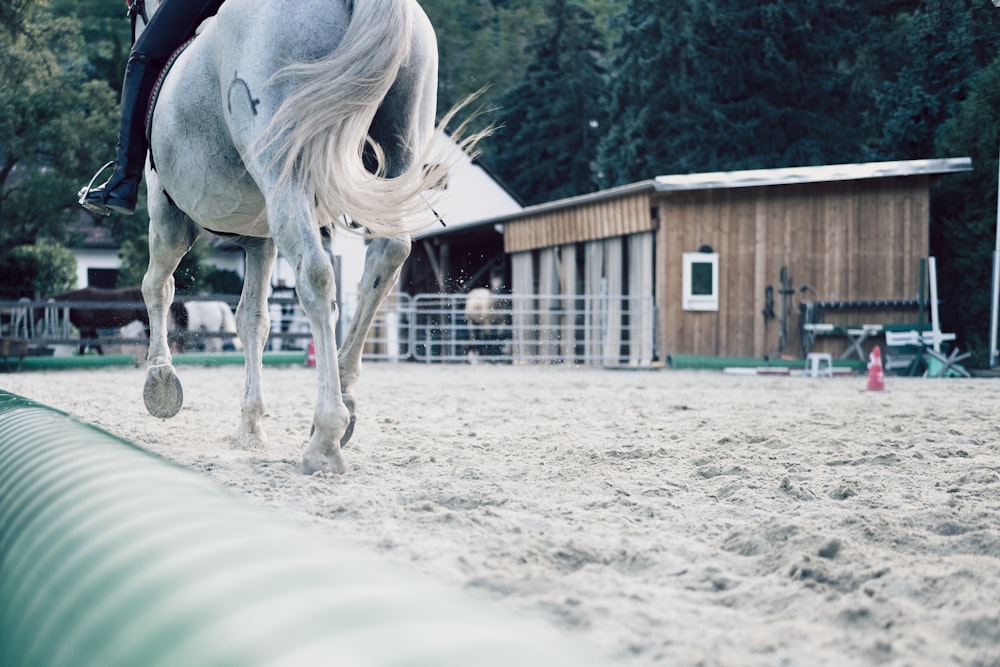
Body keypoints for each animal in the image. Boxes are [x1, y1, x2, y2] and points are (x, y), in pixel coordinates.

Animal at [137, 0, 476, 474]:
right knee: (386, 256)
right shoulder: (260, 238)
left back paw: (327, 435)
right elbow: (253, 320)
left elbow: (158, 287)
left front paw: (160, 380)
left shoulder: (167, 214)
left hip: (284, 169)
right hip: (398, 146)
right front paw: (250, 426)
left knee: (317, 277)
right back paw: (345, 398)